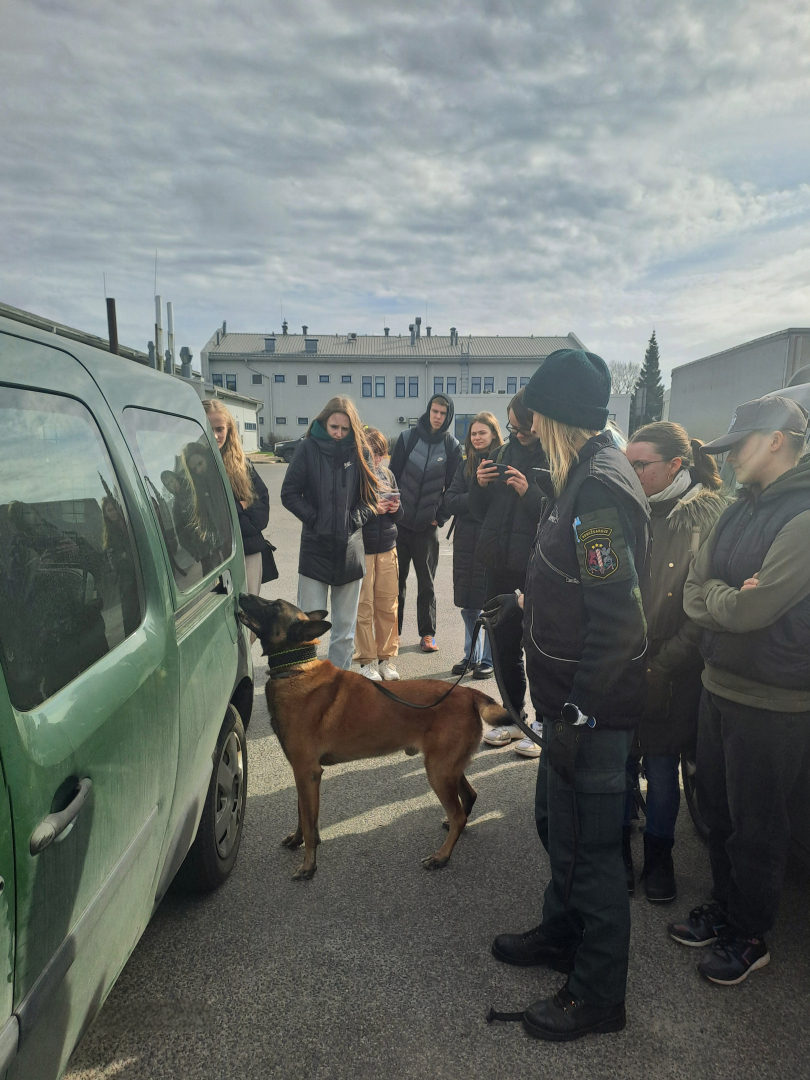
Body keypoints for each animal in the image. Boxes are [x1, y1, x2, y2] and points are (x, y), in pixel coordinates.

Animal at [238, 594, 509, 880]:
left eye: (274, 605)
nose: (242, 595)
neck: (296, 669)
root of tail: (468, 693)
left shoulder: (307, 772)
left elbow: (311, 826)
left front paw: (309, 865)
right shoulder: (301, 774)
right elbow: (303, 814)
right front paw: (297, 839)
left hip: (438, 771)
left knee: (459, 814)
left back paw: (441, 856)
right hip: (448, 768)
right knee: (469, 797)